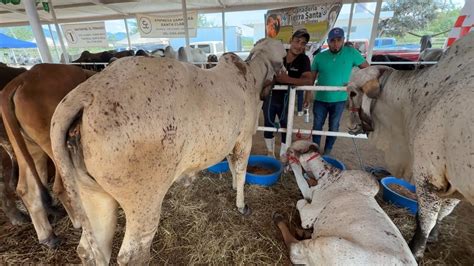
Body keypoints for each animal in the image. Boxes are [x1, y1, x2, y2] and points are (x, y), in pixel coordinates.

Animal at [0, 64, 96, 247]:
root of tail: (19, 81)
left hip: (29, 150)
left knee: (26, 188)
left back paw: (48, 236)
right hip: (53, 147)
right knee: (62, 185)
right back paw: (80, 223)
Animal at [48, 38, 286, 264]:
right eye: (284, 57)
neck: (250, 76)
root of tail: (87, 93)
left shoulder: (231, 140)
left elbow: (230, 164)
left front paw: (233, 186)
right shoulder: (244, 139)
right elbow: (241, 171)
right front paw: (241, 204)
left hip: (94, 197)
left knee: (88, 250)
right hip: (144, 203)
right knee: (132, 255)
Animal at [276, 140, 416, 264]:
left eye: (291, 150)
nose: (283, 157)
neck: (329, 176)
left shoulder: (309, 215)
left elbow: (300, 199)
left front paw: (294, 164)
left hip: (327, 245)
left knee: (295, 249)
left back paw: (280, 219)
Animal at [344, 31, 474, 260]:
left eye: (352, 93)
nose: (349, 125)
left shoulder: (428, 174)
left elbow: (428, 217)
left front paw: (416, 249)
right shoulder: (455, 181)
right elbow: (443, 212)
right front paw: (433, 236)